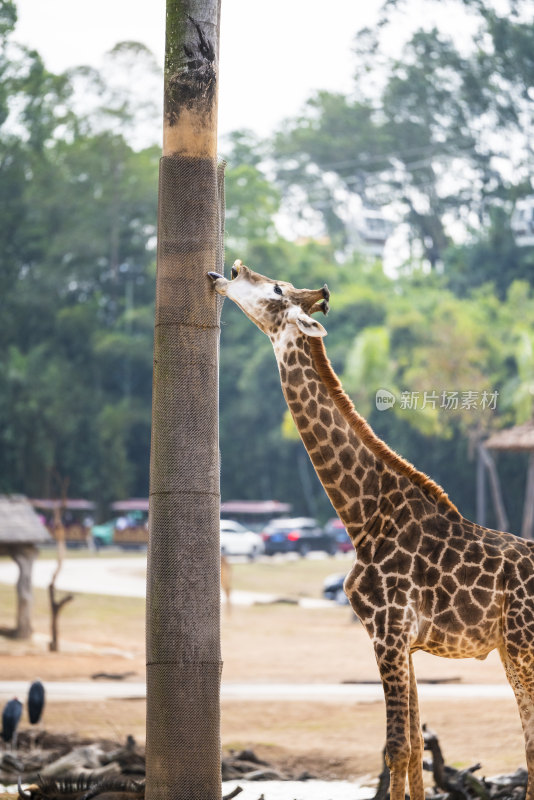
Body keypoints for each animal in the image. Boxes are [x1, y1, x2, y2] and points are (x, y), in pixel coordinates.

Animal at [210, 262, 534, 800]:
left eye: (275, 288)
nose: (227, 270)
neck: (364, 516)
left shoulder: (387, 630)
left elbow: (397, 747)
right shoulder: (402, 641)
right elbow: (411, 750)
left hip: (524, 645)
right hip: (511, 649)